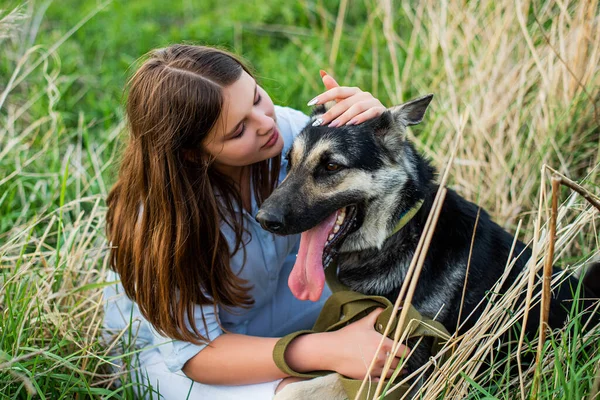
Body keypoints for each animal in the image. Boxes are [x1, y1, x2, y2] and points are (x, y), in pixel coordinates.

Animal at [258, 94, 600, 396]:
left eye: (331, 166)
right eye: (289, 161)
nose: (264, 219)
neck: (401, 232)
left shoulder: (401, 373)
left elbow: (298, 389)